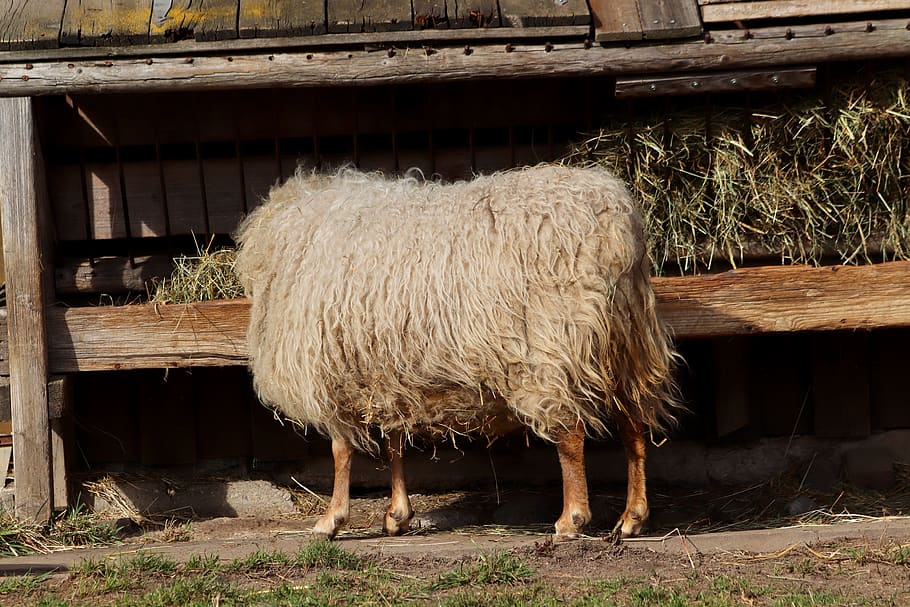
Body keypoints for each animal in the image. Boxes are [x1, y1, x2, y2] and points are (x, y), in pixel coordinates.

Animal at [234, 164, 680, 540]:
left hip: (551, 349)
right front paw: (397, 515)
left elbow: (341, 451)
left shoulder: (332, 372)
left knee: (570, 433)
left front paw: (332, 520)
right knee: (634, 426)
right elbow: (395, 443)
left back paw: (571, 519)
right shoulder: (387, 372)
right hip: (626, 345)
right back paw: (632, 518)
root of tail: (614, 226)